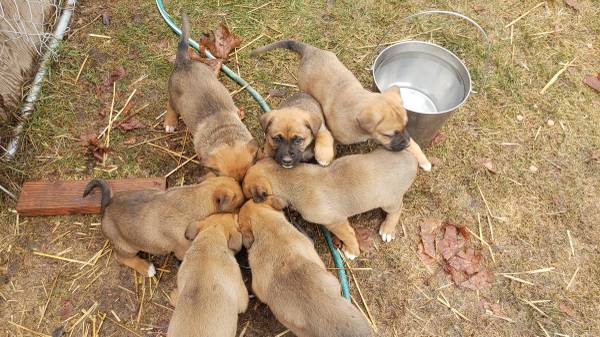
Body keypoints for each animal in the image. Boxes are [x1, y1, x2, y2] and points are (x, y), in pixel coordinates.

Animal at [82, 176, 244, 276]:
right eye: (239, 204)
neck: (196, 197)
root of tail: (107, 204)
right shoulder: (183, 249)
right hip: (127, 247)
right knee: (121, 257)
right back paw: (146, 268)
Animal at [243, 148, 418, 258]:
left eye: (248, 195)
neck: (290, 179)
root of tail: (411, 160)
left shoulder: (336, 222)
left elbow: (348, 235)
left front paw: (352, 251)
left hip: (389, 201)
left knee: (397, 210)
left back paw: (388, 229)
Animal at [250, 39, 432, 171]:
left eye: (405, 126)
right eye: (389, 134)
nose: (406, 143)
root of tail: (310, 50)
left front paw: (423, 159)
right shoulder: (335, 135)